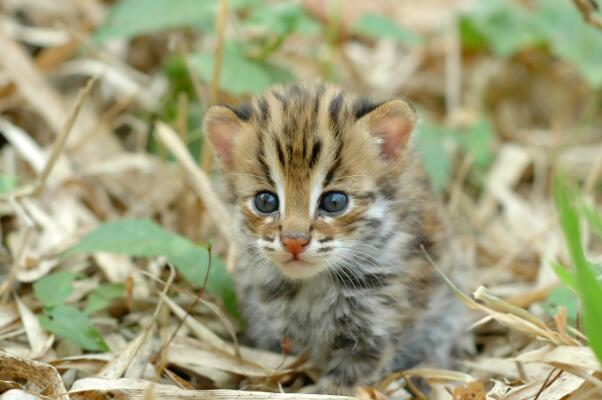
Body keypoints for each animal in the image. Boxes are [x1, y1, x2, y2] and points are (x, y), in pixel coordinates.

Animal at [204, 82, 472, 394]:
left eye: (334, 202)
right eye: (266, 201)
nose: (294, 241)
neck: (311, 286)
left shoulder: (372, 331)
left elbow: (343, 383)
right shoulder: (273, 326)